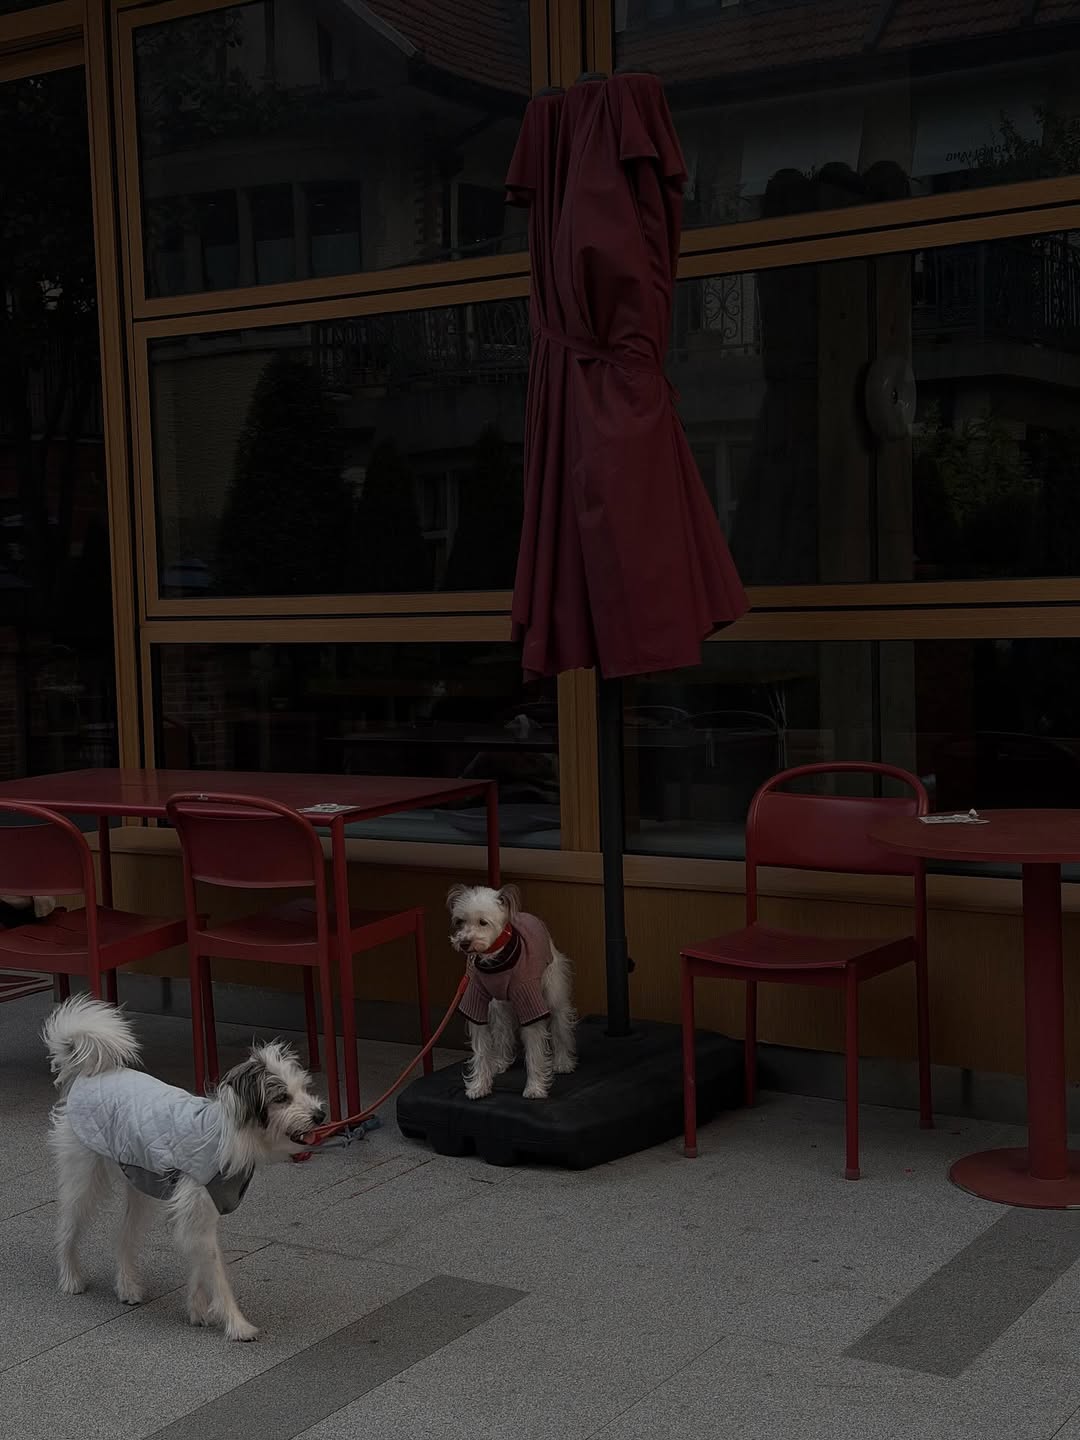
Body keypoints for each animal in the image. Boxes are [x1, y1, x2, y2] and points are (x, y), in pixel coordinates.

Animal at [43, 995, 326, 1341]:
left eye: (304, 1089)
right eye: (282, 1097)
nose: (320, 1115)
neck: (228, 1136)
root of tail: (88, 1075)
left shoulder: (200, 1213)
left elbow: (201, 1265)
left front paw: (197, 1309)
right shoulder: (197, 1209)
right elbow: (215, 1273)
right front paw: (237, 1324)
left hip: (141, 1181)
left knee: (123, 1236)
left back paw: (127, 1286)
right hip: (84, 1175)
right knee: (68, 1225)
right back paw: (70, 1278)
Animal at [448, 884, 576, 1100]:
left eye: (483, 922)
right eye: (460, 921)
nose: (464, 943)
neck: (494, 959)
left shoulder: (530, 1004)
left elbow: (534, 1051)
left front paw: (534, 1088)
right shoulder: (476, 1003)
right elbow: (481, 1050)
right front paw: (479, 1086)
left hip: (553, 991)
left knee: (560, 1026)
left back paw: (563, 1062)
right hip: (498, 1005)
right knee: (502, 1030)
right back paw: (500, 1061)